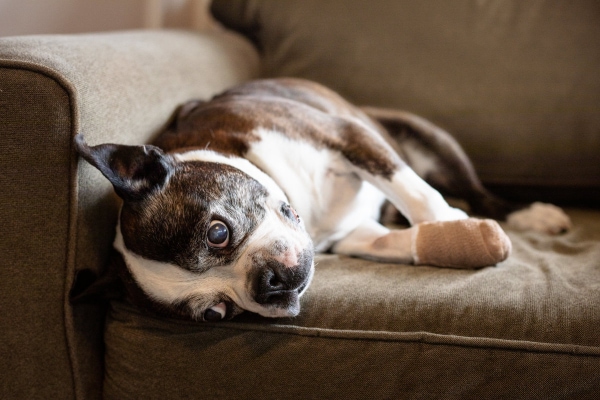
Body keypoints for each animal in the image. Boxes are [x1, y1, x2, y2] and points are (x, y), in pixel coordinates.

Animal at [75, 77, 572, 322]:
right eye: (217, 313)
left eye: (217, 233)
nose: (268, 285)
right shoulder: (354, 234)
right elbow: (392, 243)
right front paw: (449, 240)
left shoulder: (348, 135)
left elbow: (417, 192)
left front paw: (452, 222)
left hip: (425, 137)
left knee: (478, 192)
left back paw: (532, 215)